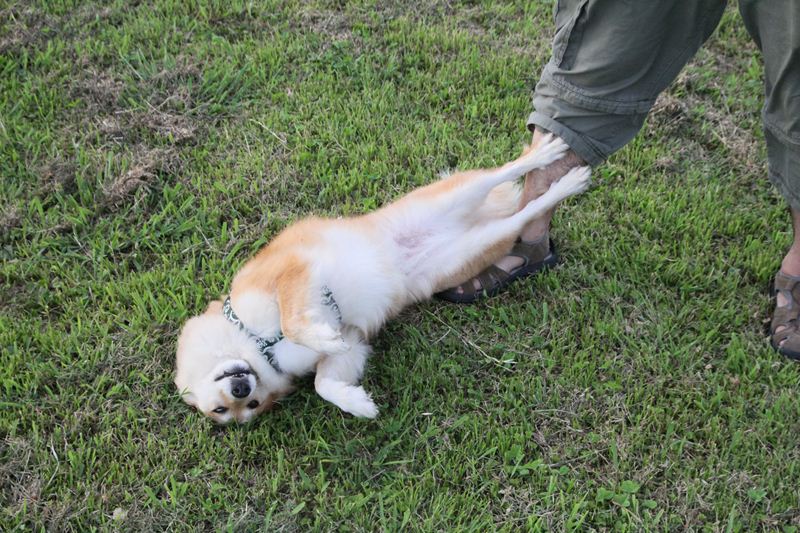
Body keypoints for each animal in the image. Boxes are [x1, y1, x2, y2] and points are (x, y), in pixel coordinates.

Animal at [174, 135, 590, 423]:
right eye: (238, 408)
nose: (240, 388)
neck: (261, 349)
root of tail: (475, 219)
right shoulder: (354, 340)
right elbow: (323, 383)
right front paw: (357, 404)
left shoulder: (292, 268)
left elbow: (294, 321)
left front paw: (318, 336)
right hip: (474, 248)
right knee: (525, 214)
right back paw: (563, 186)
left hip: (453, 196)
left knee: (504, 172)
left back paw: (552, 161)